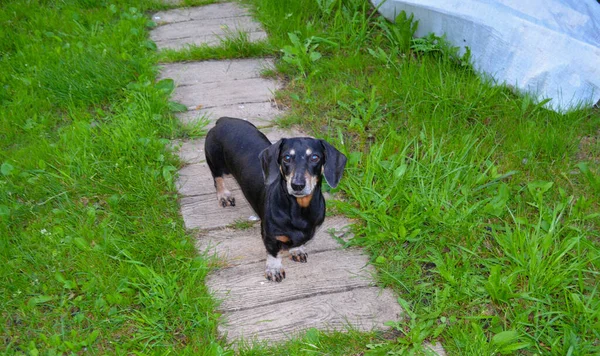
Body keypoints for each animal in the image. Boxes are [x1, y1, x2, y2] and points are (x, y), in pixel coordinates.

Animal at [206, 118, 346, 282]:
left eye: (315, 157)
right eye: (286, 157)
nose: (297, 185)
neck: (299, 209)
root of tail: (223, 120)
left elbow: (299, 242)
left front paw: (297, 250)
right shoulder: (270, 236)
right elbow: (274, 253)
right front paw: (274, 269)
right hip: (214, 161)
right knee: (218, 178)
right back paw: (224, 195)